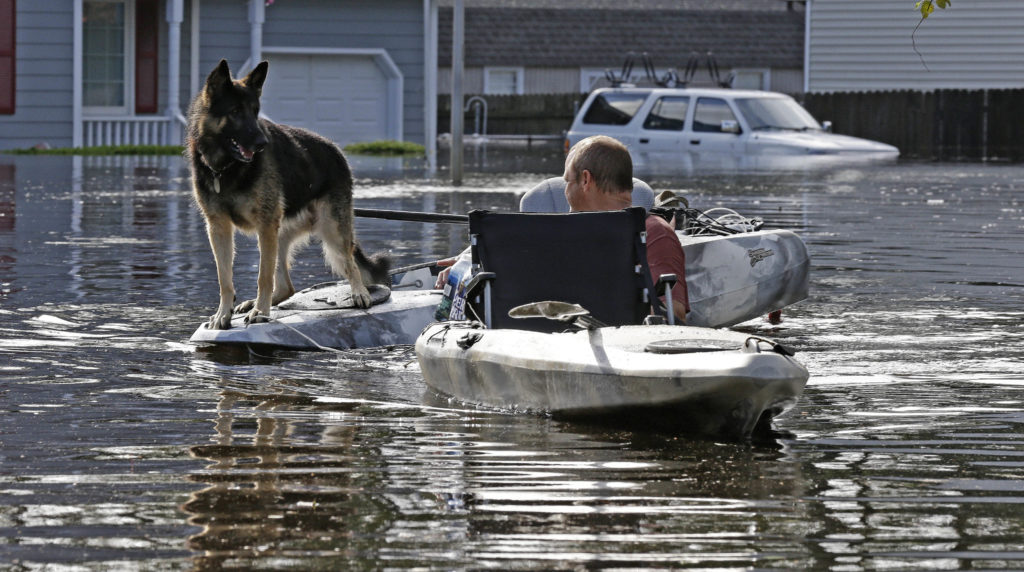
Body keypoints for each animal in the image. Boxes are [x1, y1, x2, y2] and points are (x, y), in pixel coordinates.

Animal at [186, 59, 389, 329]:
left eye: (255, 111)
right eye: (236, 111)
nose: (262, 144)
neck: (225, 168)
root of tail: (337, 151)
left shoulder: (264, 224)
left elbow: (263, 276)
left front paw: (260, 312)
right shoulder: (218, 228)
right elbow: (224, 279)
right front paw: (223, 314)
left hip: (329, 229)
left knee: (349, 265)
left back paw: (359, 293)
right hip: (280, 234)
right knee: (287, 287)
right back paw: (254, 303)